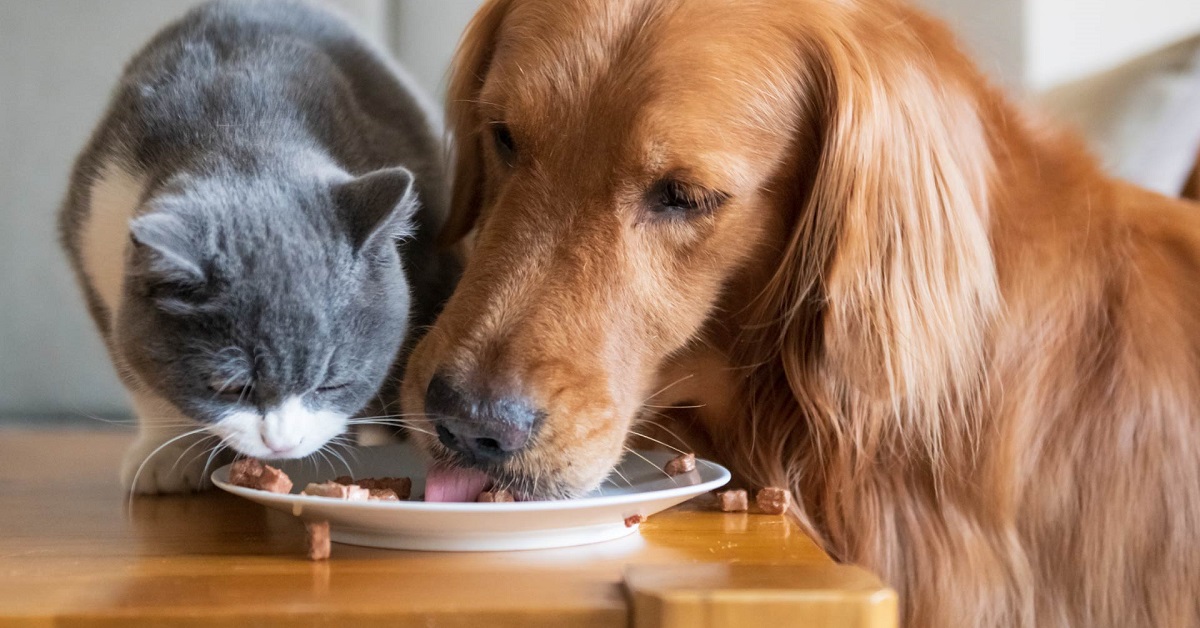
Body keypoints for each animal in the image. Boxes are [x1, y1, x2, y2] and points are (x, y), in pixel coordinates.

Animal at [55, 0, 453, 497]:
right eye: (229, 386)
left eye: (331, 383)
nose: (281, 444)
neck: (240, 125)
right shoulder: (95, 231)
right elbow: (138, 370)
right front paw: (167, 452)